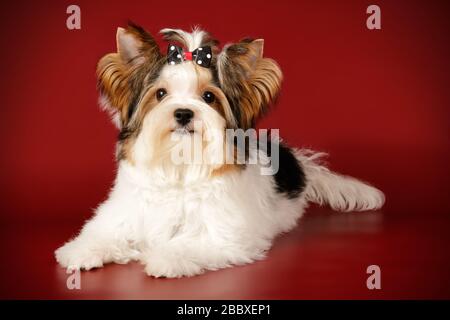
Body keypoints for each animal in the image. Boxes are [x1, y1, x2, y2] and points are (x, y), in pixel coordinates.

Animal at [54, 23, 384, 278]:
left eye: (209, 97)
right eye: (160, 94)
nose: (183, 113)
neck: (179, 165)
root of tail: (297, 163)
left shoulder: (223, 233)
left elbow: (192, 242)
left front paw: (166, 258)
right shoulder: (124, 212)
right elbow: (104, 231)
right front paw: (81, 250)